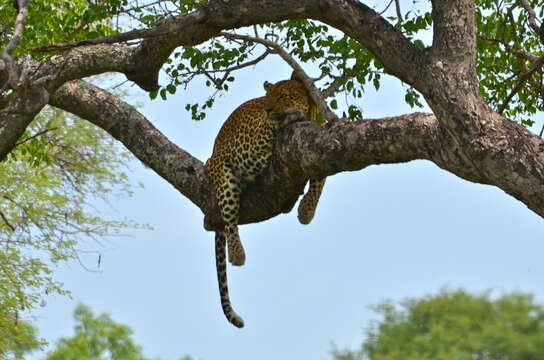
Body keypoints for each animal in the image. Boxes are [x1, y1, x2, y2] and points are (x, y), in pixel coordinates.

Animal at [203, 71, 324, 328]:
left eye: (283, 96)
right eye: (268, 97)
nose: (268, 110)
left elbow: (320, 179)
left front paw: (307, 211)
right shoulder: (248, 147)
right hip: (221, 171)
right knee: (229, 218)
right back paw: (237, 253)